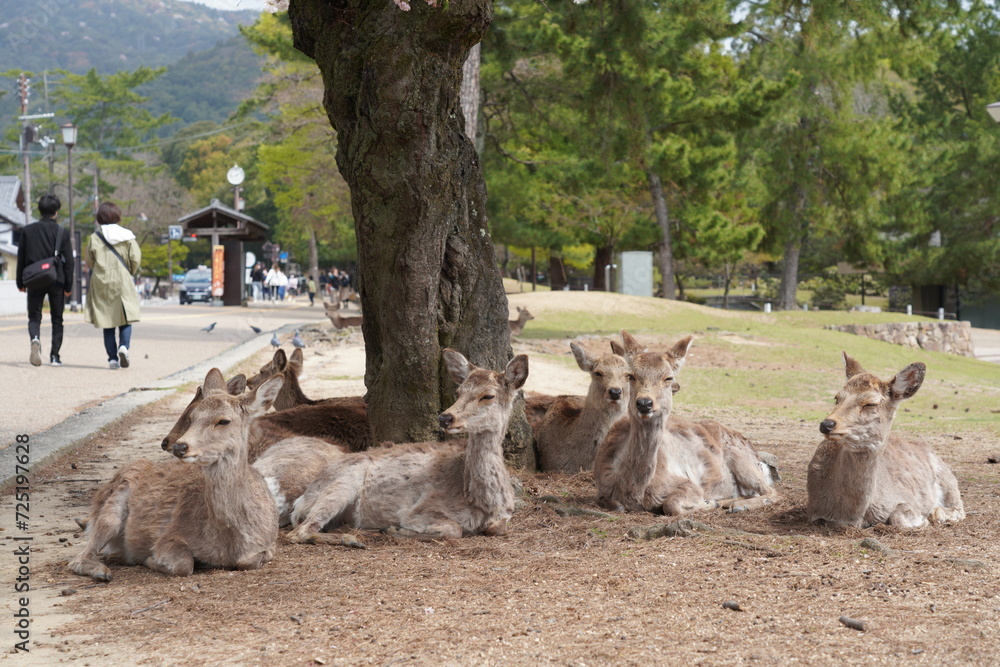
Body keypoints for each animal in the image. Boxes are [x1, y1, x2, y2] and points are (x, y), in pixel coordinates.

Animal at [68, 369, 283, 581]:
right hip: (111, 510)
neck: (230, 541)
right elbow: (183, 565)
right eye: (193, 417)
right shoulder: (170, 536)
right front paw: (151, 559)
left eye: (224, 421)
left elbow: (248, 562)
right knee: (78, 558)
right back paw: (102, 571)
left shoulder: (270, 544)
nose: (180, 446)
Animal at [286, 349, 528, 545]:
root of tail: (300, 501)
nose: (445, 417)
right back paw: (355, 539)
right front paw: (396, 529)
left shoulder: (506, 513)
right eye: (459, 392)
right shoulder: (417, 511)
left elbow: (497, 528)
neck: (483, 502)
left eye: (488, 395)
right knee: (298, 532)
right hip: (341, 484)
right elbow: (454, 529)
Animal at [594, 331, 778, 515]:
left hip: (741, 457)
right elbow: (611, 503)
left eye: (668, 377)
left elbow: (672, 505)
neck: (633, 490)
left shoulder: (689, 484)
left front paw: (708, 503)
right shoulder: (602, 487)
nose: (644, 403)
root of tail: (756, 456)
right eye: (631, 375)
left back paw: (737, 505)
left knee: (772, 492)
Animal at [807, 352, 965, 529]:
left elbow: (898, 516)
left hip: (948, 480)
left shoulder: (907, 498)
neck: (852, 516)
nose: (827, 424)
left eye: (870, 403)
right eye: (837, 398)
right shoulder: (813, 512)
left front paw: (923, 520)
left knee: (959, 506)